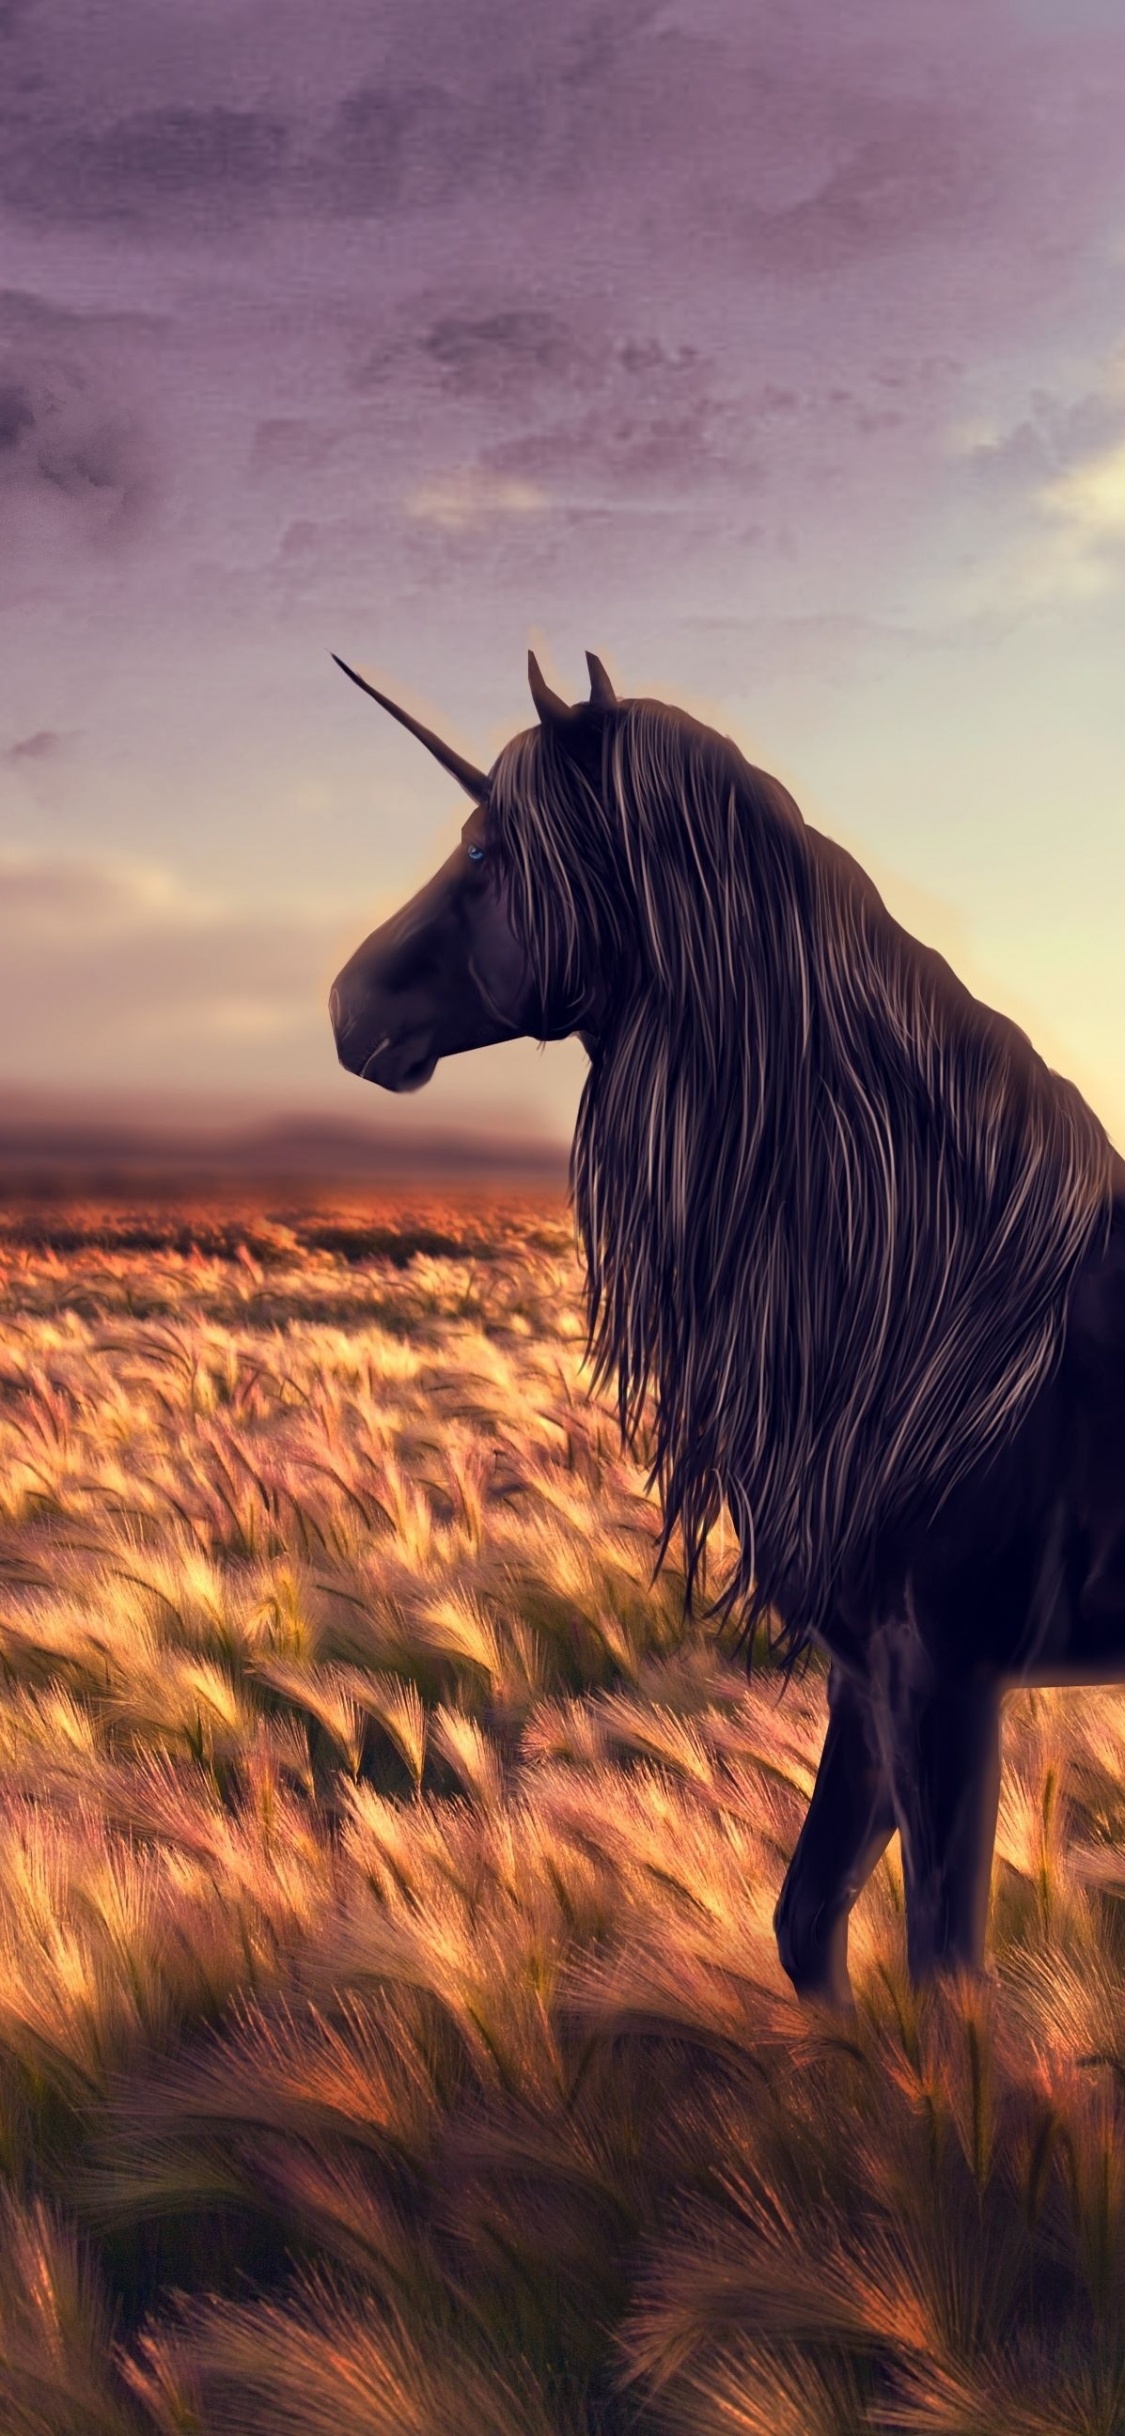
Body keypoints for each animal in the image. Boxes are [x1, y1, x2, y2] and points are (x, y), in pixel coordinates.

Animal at [329, 647, 1125, 2006]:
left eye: (487, 851)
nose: (344, 1006)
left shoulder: (951, 1675)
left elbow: (944, 1970)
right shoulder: (873, 1671)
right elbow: (809, 1925)